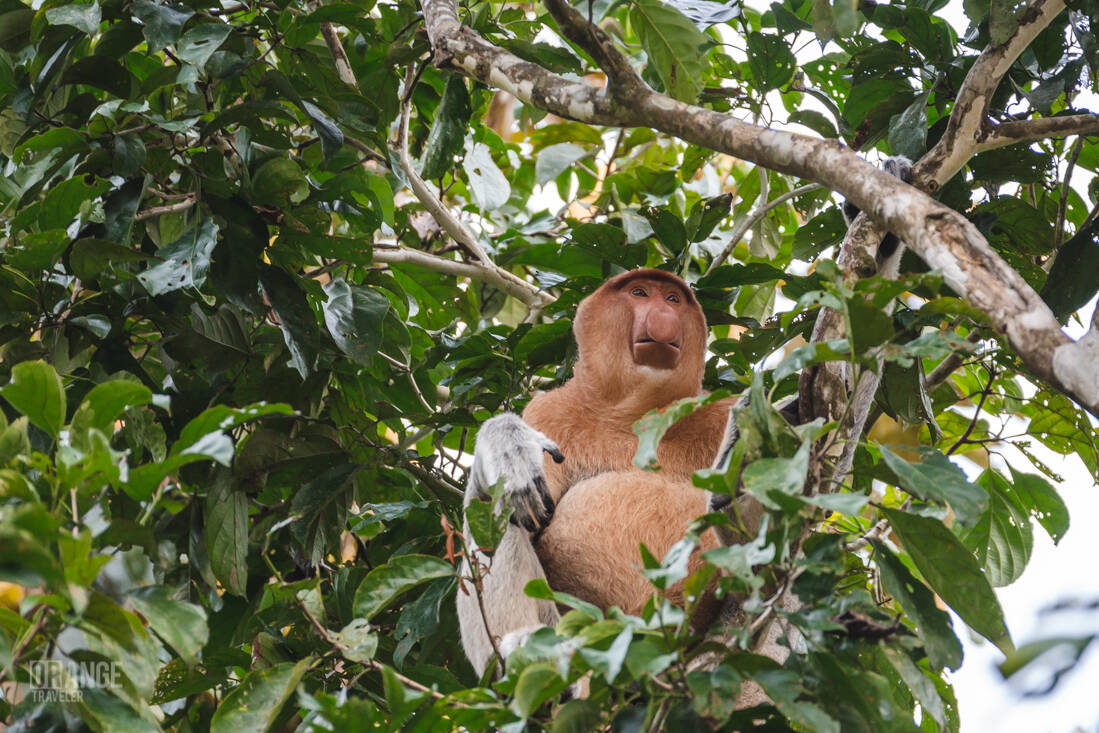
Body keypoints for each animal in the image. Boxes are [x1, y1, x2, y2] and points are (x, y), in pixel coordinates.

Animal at [457, 269, 759, 676]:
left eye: (673, 299)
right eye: (640, 293)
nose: (664, 316)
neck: (635, 414)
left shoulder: (715, 410)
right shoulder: (552, 411)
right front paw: (508, 448)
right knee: (500, 509)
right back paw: (516, 649)